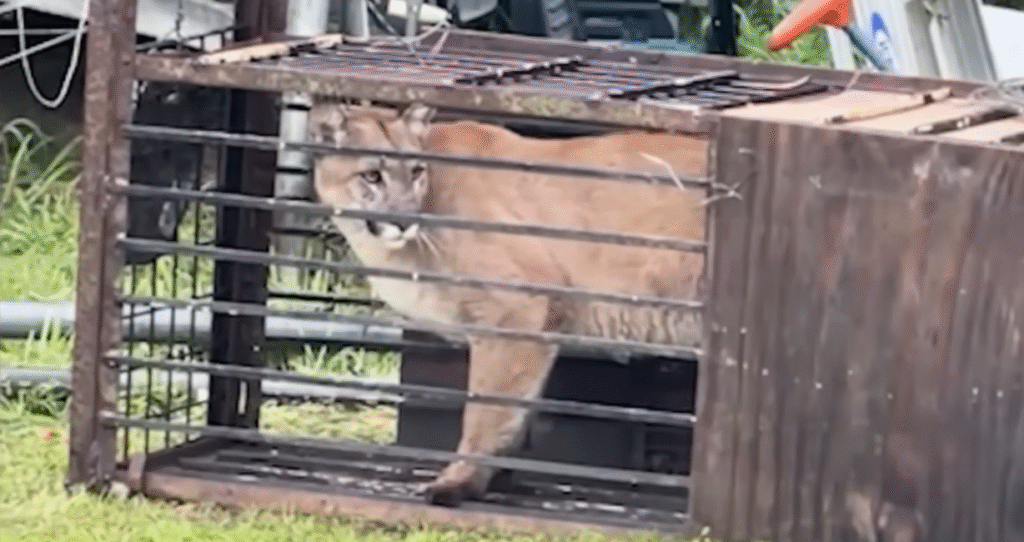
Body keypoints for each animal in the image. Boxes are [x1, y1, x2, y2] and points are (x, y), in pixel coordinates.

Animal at [307, 100, 709, 507]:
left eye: (416, 171)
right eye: (372, 175)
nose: (404, 220)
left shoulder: (515, 313)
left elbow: (486, 410)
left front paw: (457, 482)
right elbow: (517, 408)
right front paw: (493, 479)